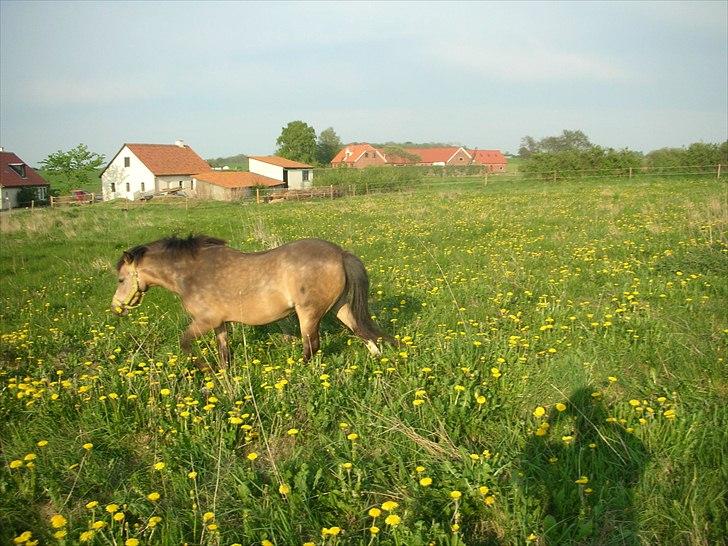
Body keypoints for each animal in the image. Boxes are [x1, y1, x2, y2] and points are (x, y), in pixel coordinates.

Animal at [111, 235, 395, 370]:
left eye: (121, 279)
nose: (116, 308)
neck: (190, 273)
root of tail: (340, 253)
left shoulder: (204, 321)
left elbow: (184, 344)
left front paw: (205, 369)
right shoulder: (220, 324)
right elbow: (224, 353)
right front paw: (224, 376)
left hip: (309, 314)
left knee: (311, 347)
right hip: (340, 308)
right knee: (361, 332)